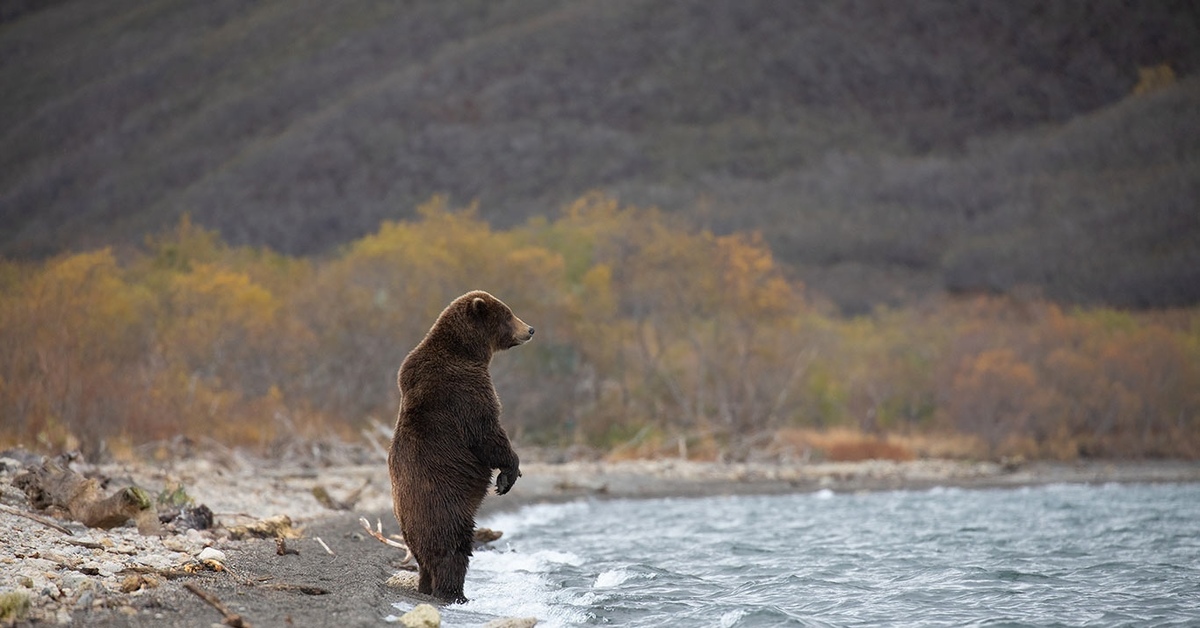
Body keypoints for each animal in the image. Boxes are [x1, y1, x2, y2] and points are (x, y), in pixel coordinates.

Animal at [388, 290, 535, 605]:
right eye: (508, 314)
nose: (530, 329)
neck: (468, 351)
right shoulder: (463, 389)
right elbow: (486, 432)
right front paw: (508, 473)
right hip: (444, 505)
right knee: (453, 547)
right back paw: (455, 593)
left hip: (409, 525)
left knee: (425, 558)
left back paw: (425, 585)